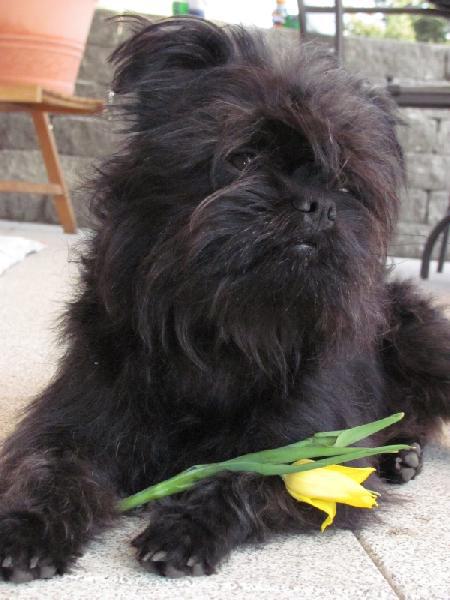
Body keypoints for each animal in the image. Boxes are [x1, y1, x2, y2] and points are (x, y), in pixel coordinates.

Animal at [1, 16, 449, 582]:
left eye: (345, 186)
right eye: (244, 158)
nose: (318, 204)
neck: (222, 329)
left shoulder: (303, 445)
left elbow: (244, 475)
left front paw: (188, 525)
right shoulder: (77, 422)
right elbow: (51, 469)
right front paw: (30, 526)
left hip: (421, 343)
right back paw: (399, 455)